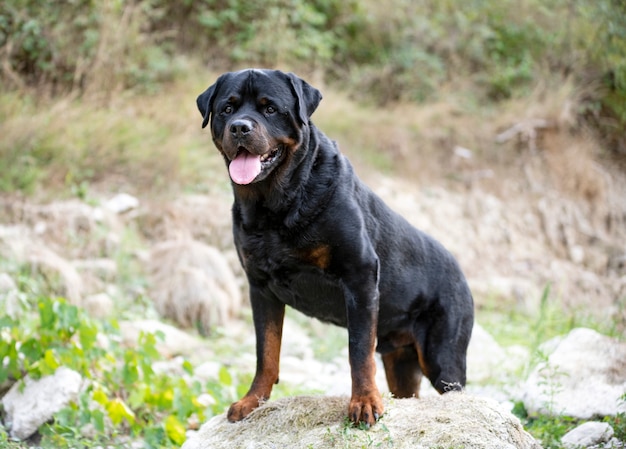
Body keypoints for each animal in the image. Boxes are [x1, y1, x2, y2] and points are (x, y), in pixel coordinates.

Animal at [197, 68, 470, 426]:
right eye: (227, 109)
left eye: (270, 109)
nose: (240, 127)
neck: (276, 204)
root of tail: (461, 272)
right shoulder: (260, 288)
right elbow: (265, 351)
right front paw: (252, 400)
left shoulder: (360, 275)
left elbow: (358, 351)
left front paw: (364, 402)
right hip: (401, 361)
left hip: (444, 357)